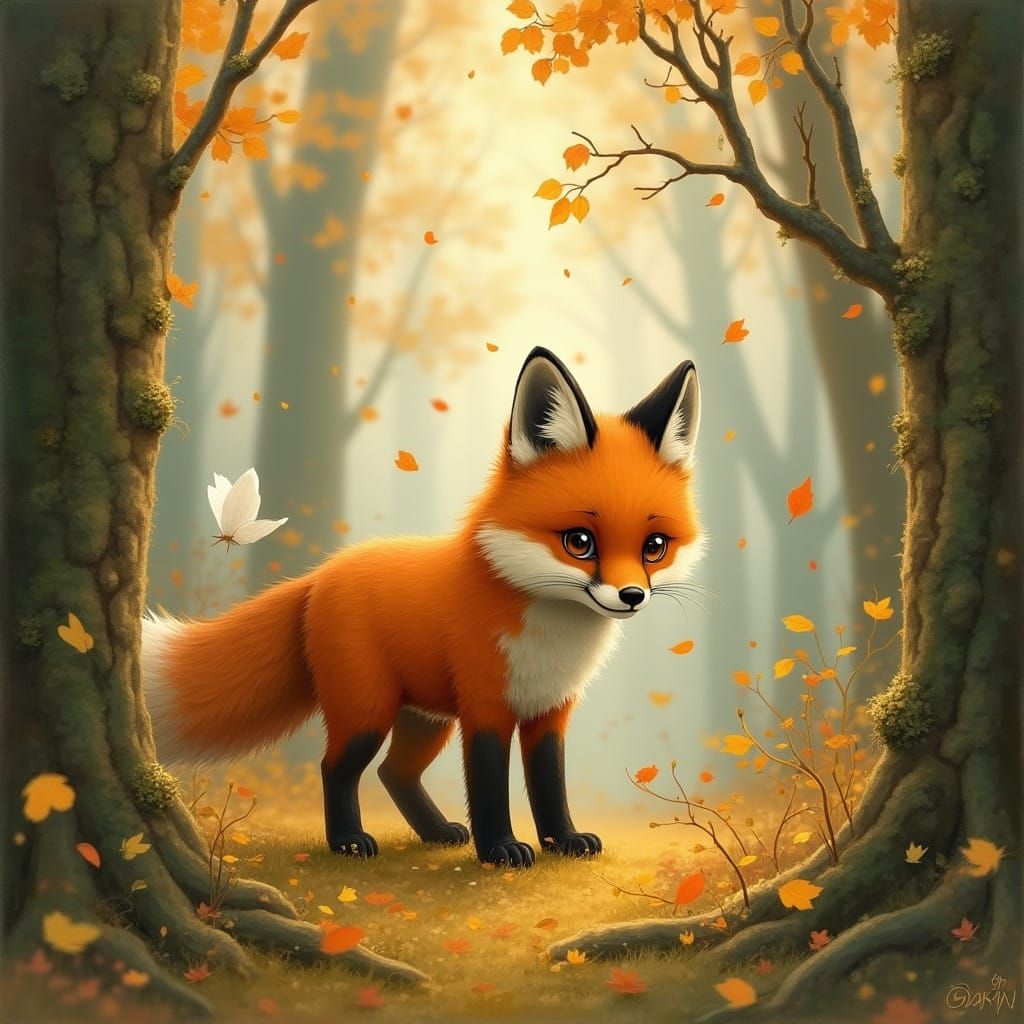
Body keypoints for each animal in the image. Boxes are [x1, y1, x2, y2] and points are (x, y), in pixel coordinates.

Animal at [144, 347, 702, 867]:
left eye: (654, 547)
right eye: (579, 542)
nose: (632, 596)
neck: (550, 635)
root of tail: (322, 572)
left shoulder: (549, 710)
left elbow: (550, 784)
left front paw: (562, 841)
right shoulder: (485, 707)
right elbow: (489, 787)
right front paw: (500, 850)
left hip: (426, 717)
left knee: (394, 772)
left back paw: (435, 832)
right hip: (369, 710)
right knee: (336, 767)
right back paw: (348, 841)